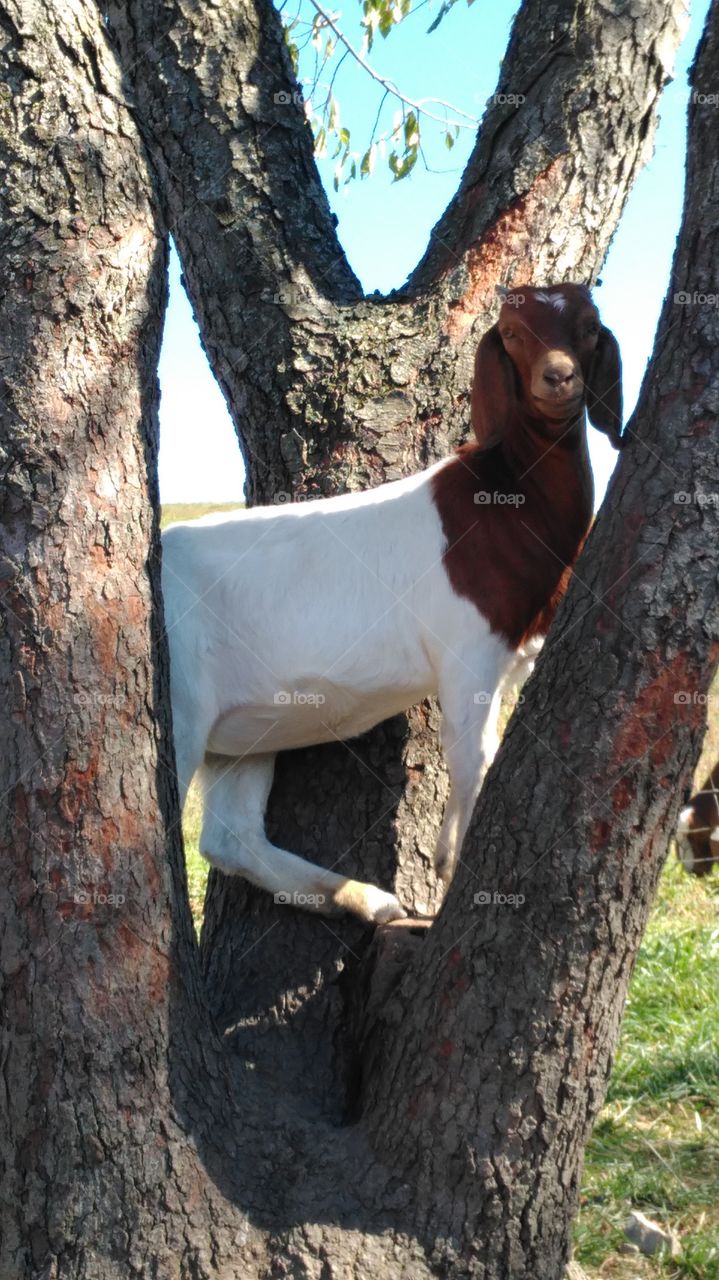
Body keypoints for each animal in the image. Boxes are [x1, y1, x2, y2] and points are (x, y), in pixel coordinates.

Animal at [161, 283, 623, 924]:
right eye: (510, 333)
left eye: (589, 325)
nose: (558, 377)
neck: (508, 499)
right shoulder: (468, 649)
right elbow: (472, 755)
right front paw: (451, 864)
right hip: (180, 703)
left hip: (248, 725)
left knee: (230, 837)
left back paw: (365, 900)